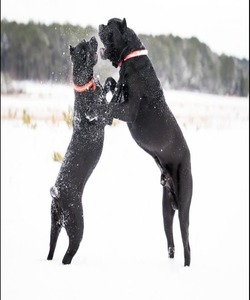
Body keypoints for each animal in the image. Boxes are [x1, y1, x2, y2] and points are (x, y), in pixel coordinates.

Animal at [46, 36, 114, 264]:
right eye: (86, 47)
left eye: (84, 41)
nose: (92, 38)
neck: (85, 87)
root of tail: (57, 195)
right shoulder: (105, 117)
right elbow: (109, 103)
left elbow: (107, 83)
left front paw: (109, 82)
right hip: (77, 225)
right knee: (68, 254)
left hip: (54, 225)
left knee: (51, 249)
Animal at [98, 18, 192, 268]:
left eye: (110, 27)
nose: (100, 25)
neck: (130, 57)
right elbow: (111, 83)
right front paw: (105, 86)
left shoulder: (129, 111)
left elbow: (108, 107)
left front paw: (97, 108)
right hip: (166, 210)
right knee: (171, 243)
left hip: (184, 210)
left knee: (187, 245)